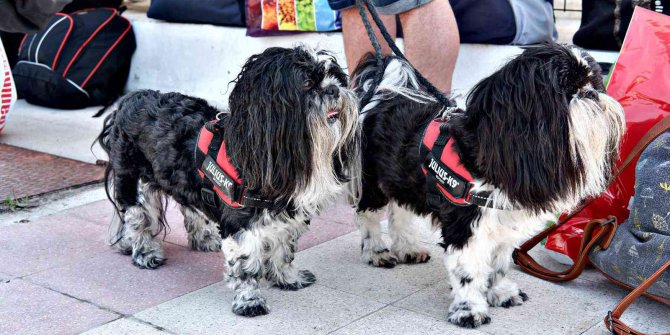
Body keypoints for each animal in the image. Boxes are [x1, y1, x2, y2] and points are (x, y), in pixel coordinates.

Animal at [97, 46, 360, 318]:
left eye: (335, 77)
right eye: (307, 83)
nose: (334, 89)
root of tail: (129, 100)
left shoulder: (285, 217)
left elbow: (283, 249)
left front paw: (287, 278)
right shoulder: (240, 227)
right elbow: (246, 267)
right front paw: (250, 301)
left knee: (189, 206)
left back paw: (203, 238)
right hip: (133, 181)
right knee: (138, 219)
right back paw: (145, 252)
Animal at [350, 43, 628, 330]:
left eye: (594, 81)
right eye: (565, 86)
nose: (592, 93)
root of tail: (382, 94)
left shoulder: (504, 226)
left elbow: (499, 264)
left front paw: (500, 293)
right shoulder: (466, 227)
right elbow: (468, 272)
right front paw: (469, 309)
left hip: (403, 178)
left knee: (400, 211)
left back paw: (407, 248)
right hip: (372, 183)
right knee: (368, 215)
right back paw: (376, 252)